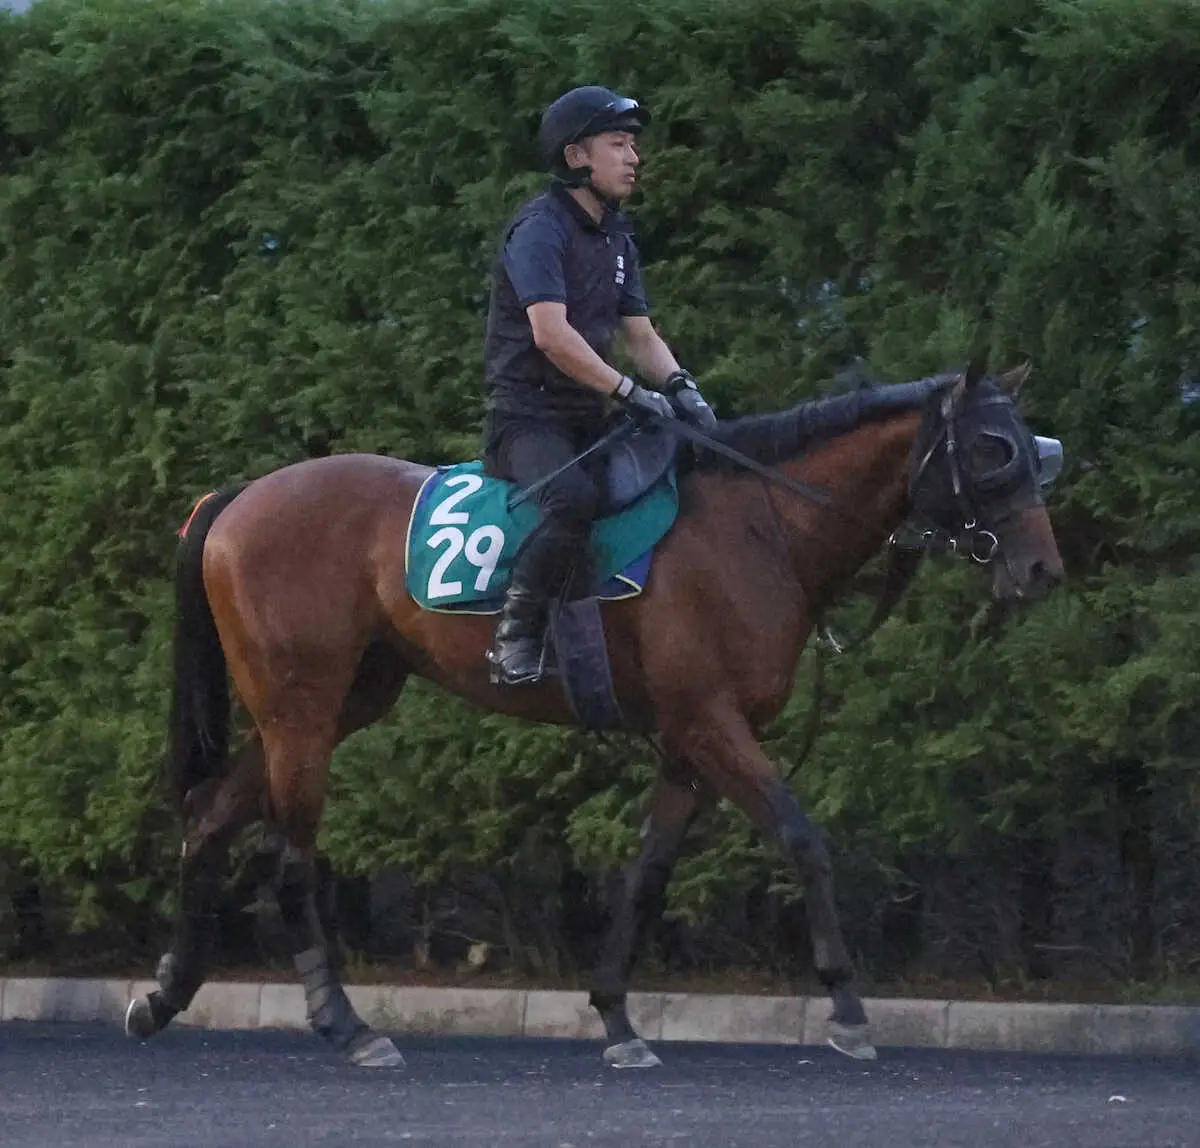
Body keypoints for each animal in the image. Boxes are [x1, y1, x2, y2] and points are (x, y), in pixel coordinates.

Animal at [124, 357, 1060, 1065]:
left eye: (1035, 450)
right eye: (991, 448)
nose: (1043, 570)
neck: (760, 525)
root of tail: (240, 498)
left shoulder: (688, 741)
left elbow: (646, 874)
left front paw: (614, 1013)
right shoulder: (713, 723)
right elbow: (802, 838)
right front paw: (848, 1007)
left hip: (340, 699)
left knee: (212, 815)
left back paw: (166, 995)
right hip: (303, 709)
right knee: (290, 858)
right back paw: (346, 1025)